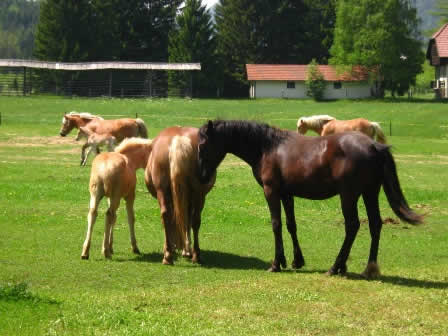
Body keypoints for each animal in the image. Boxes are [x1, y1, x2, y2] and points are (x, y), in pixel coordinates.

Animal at [144, 126, 216, 266]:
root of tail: (179, 140)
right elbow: (185, 220)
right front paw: (186, 249)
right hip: (198, 194)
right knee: (195, 220)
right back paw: (196, 255)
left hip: (164, 191)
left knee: (166, 215)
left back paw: (168, 256)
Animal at [198, 120, 422, 278]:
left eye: (202, 145)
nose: (202, 176)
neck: (268, 147)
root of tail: (374, 146)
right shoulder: (287, 194)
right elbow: (291, 225)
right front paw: (296, 261)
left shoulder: (271, 192)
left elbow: (276, 224)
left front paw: (276, 263)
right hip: (369, 193)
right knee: (375, 224)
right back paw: (369, 268)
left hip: (349, 195)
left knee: (352, 226)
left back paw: (335, 267)